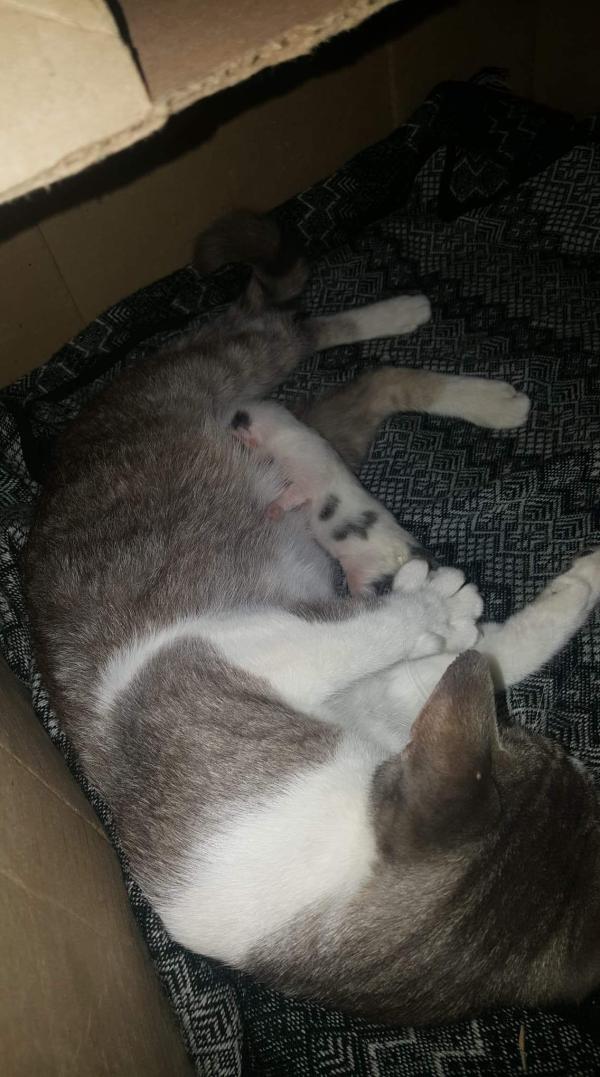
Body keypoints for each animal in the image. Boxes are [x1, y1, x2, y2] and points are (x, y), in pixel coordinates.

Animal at [24, 211, 600, 1026]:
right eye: (557, 755)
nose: (574, 757)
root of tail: (83, 422)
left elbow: (492, 652)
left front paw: (570, 584)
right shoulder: (214, 648)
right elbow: (407, 640)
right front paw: (441, 603)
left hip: (287, 424)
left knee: (342, 364)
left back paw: (435, 350)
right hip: (236, 376)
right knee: (291, 337)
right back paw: (410, 334)